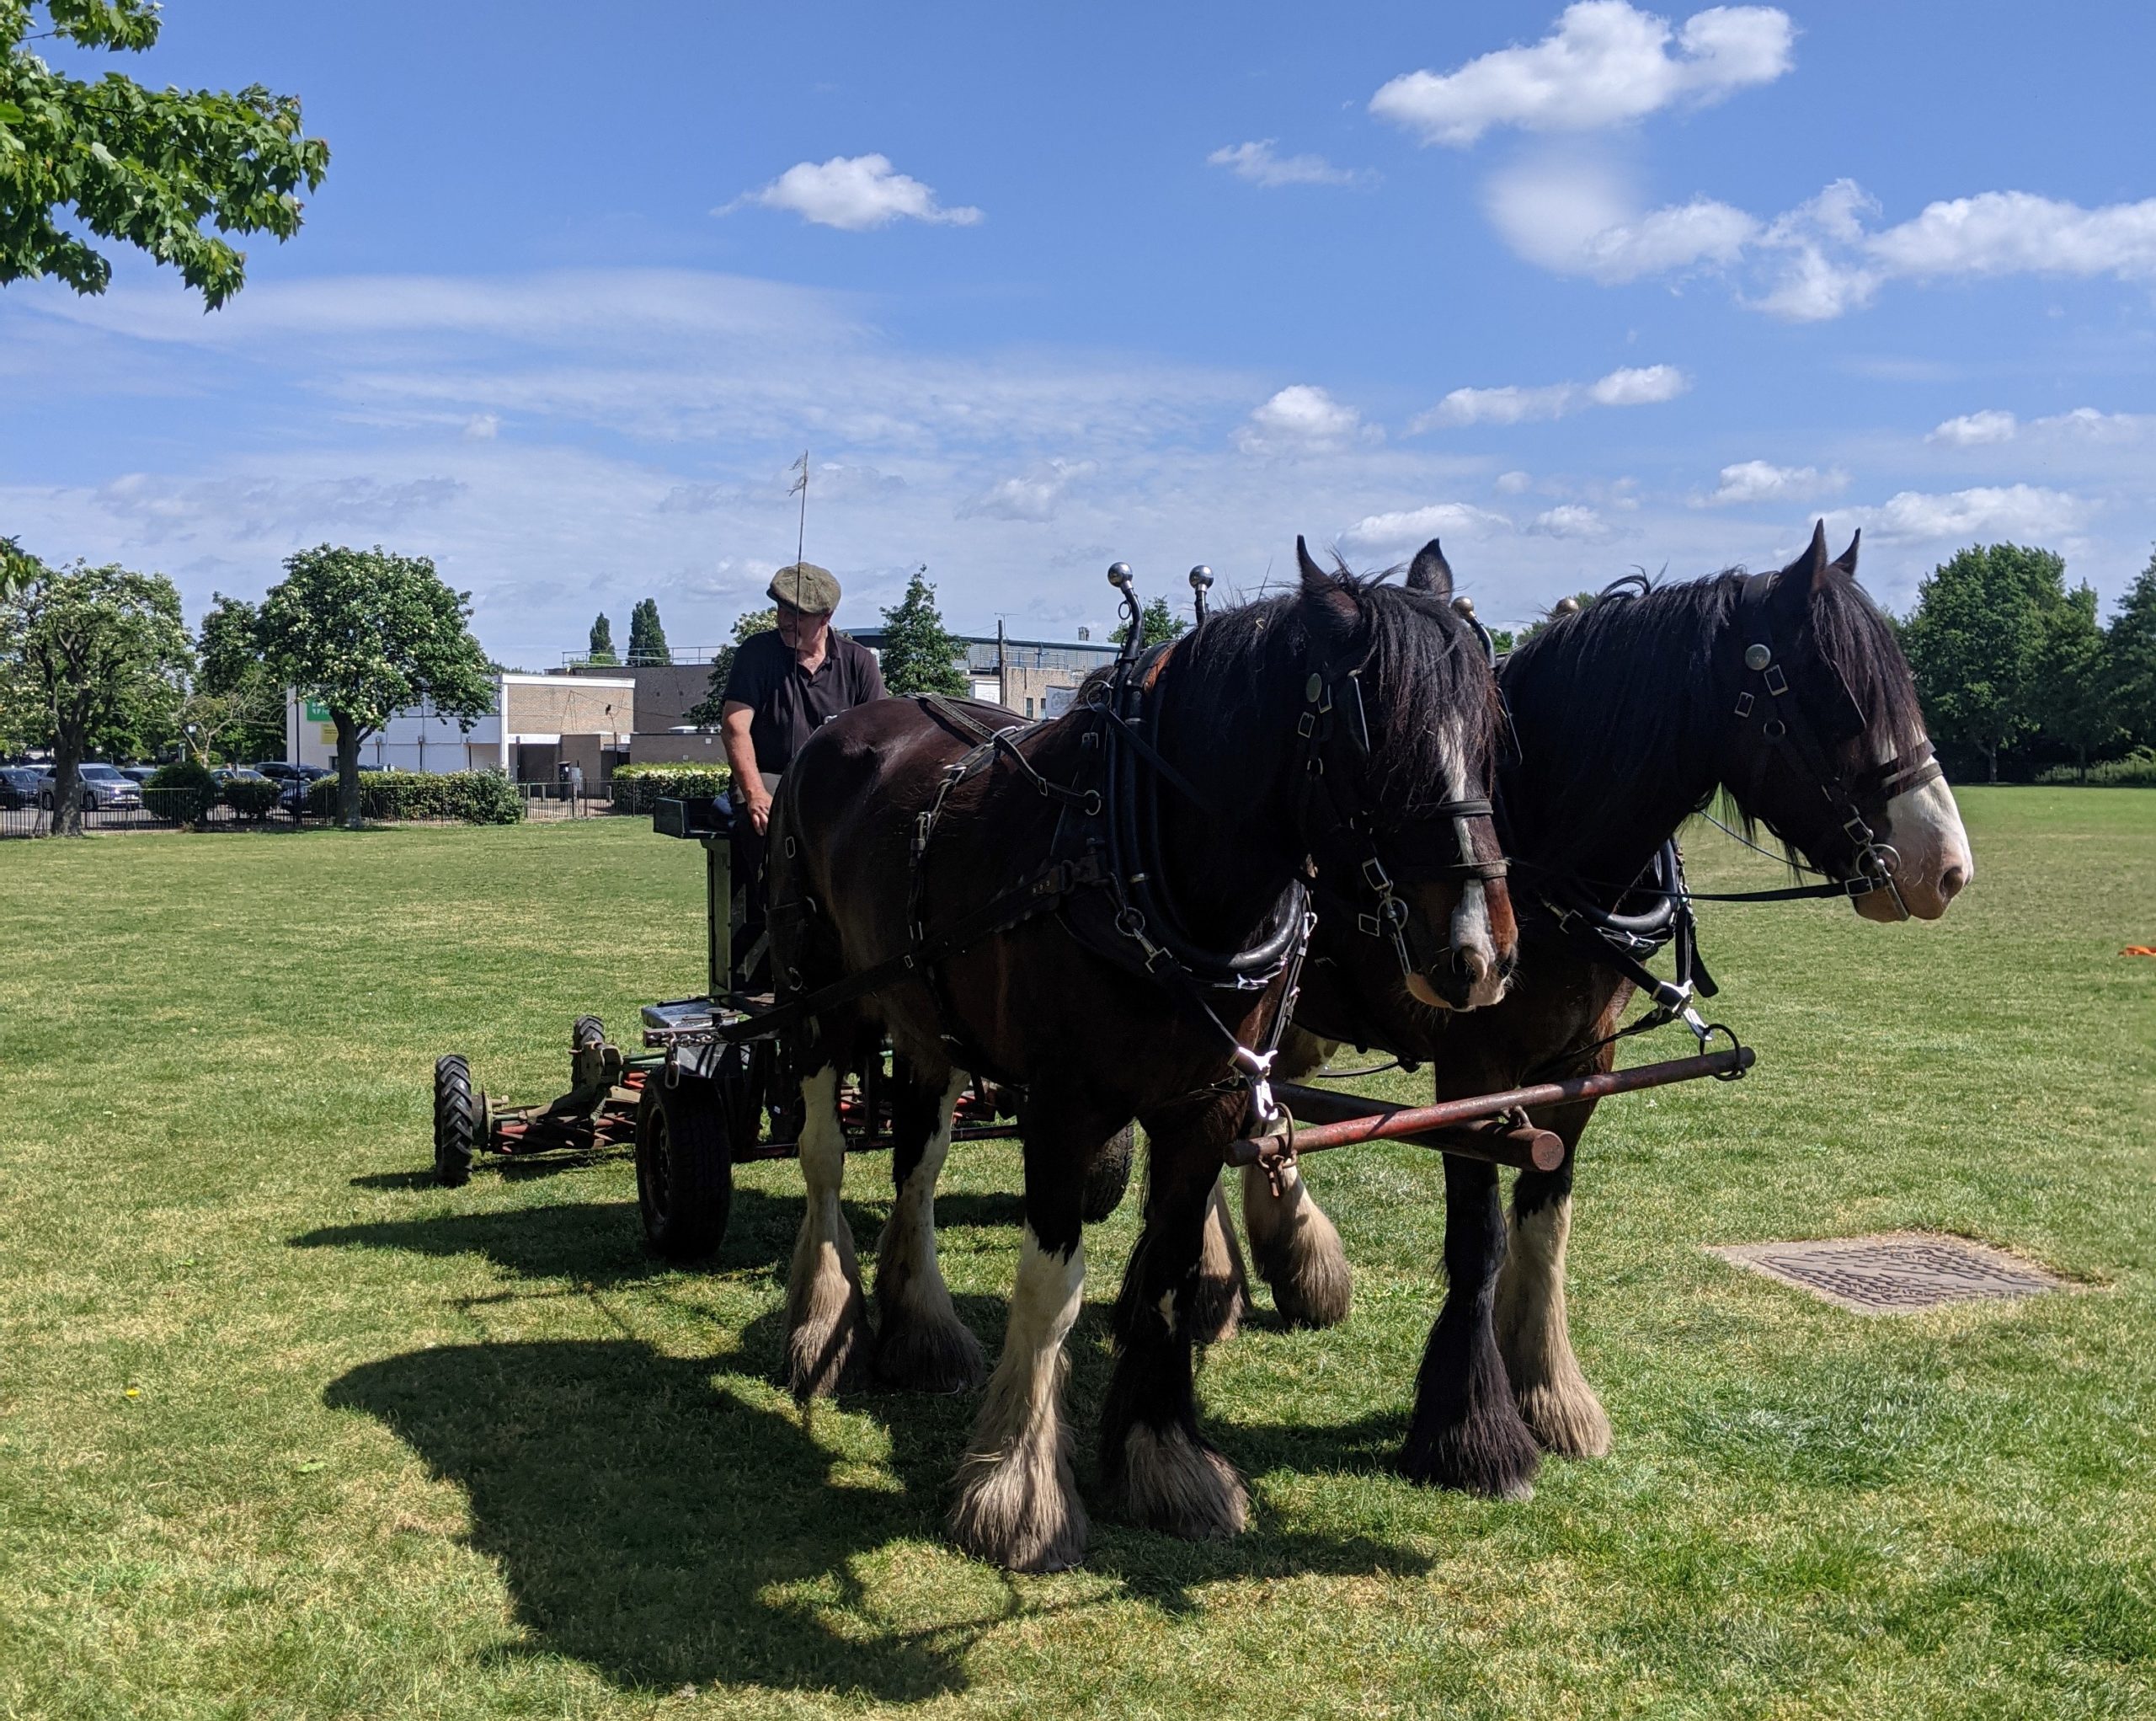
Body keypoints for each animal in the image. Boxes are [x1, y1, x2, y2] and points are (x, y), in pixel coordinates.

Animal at [776, 545, 1518, 1569]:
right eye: (1379, 737)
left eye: (1489, 730)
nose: (1479, 956)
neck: (1138, 856)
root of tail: (843, 729)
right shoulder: (1063, 1109)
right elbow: (1051, 1288)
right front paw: (1018, 1492)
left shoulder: (1205, 1105)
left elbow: (1169, 1277)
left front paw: (1163, 1459)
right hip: (825, 997)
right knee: (824, 1155)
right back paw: (822, 1323)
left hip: (926, 1020)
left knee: (916, 1166)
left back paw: (921, 1328)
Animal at [1215, 532, 1974, 1500]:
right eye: (1837, 695)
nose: (1946, 867)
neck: (1535, 840)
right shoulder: (1471, 1074)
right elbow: (1480, 1240)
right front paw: (1473, 1431)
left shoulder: (1581, 1060)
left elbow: (1546, 1220)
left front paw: (1548, 1391)